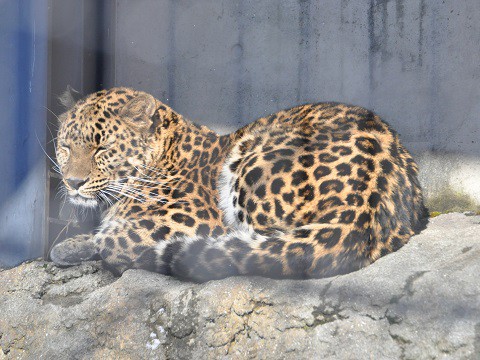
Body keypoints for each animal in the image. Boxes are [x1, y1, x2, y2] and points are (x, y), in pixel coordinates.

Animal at [49, 86, 428, 282]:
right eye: (65, 146)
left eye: (101, 148)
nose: (73, 183)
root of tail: (366, 204)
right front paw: (71, 245)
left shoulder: (194, 219)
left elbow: (115, 235)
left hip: (253, 161)